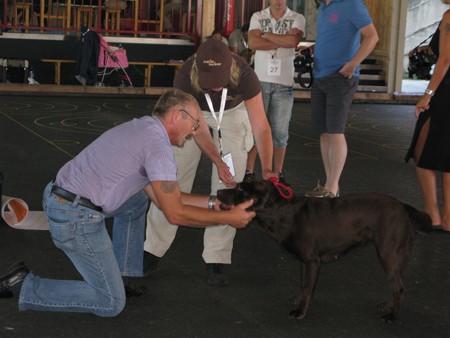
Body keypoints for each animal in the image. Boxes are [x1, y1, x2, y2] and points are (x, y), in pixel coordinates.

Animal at [218, 181, 432, 320]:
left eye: (240, 189)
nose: (219, 191)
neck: (283, 213)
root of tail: (403, 207)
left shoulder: (312, 261)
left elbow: (307, 288)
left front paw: (301, 312)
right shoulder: (305, 262)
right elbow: (303, 284)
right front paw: (298, 300)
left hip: (388, 253)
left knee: (400, 288)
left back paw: (392, 315)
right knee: (395, 286)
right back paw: (387, 306)